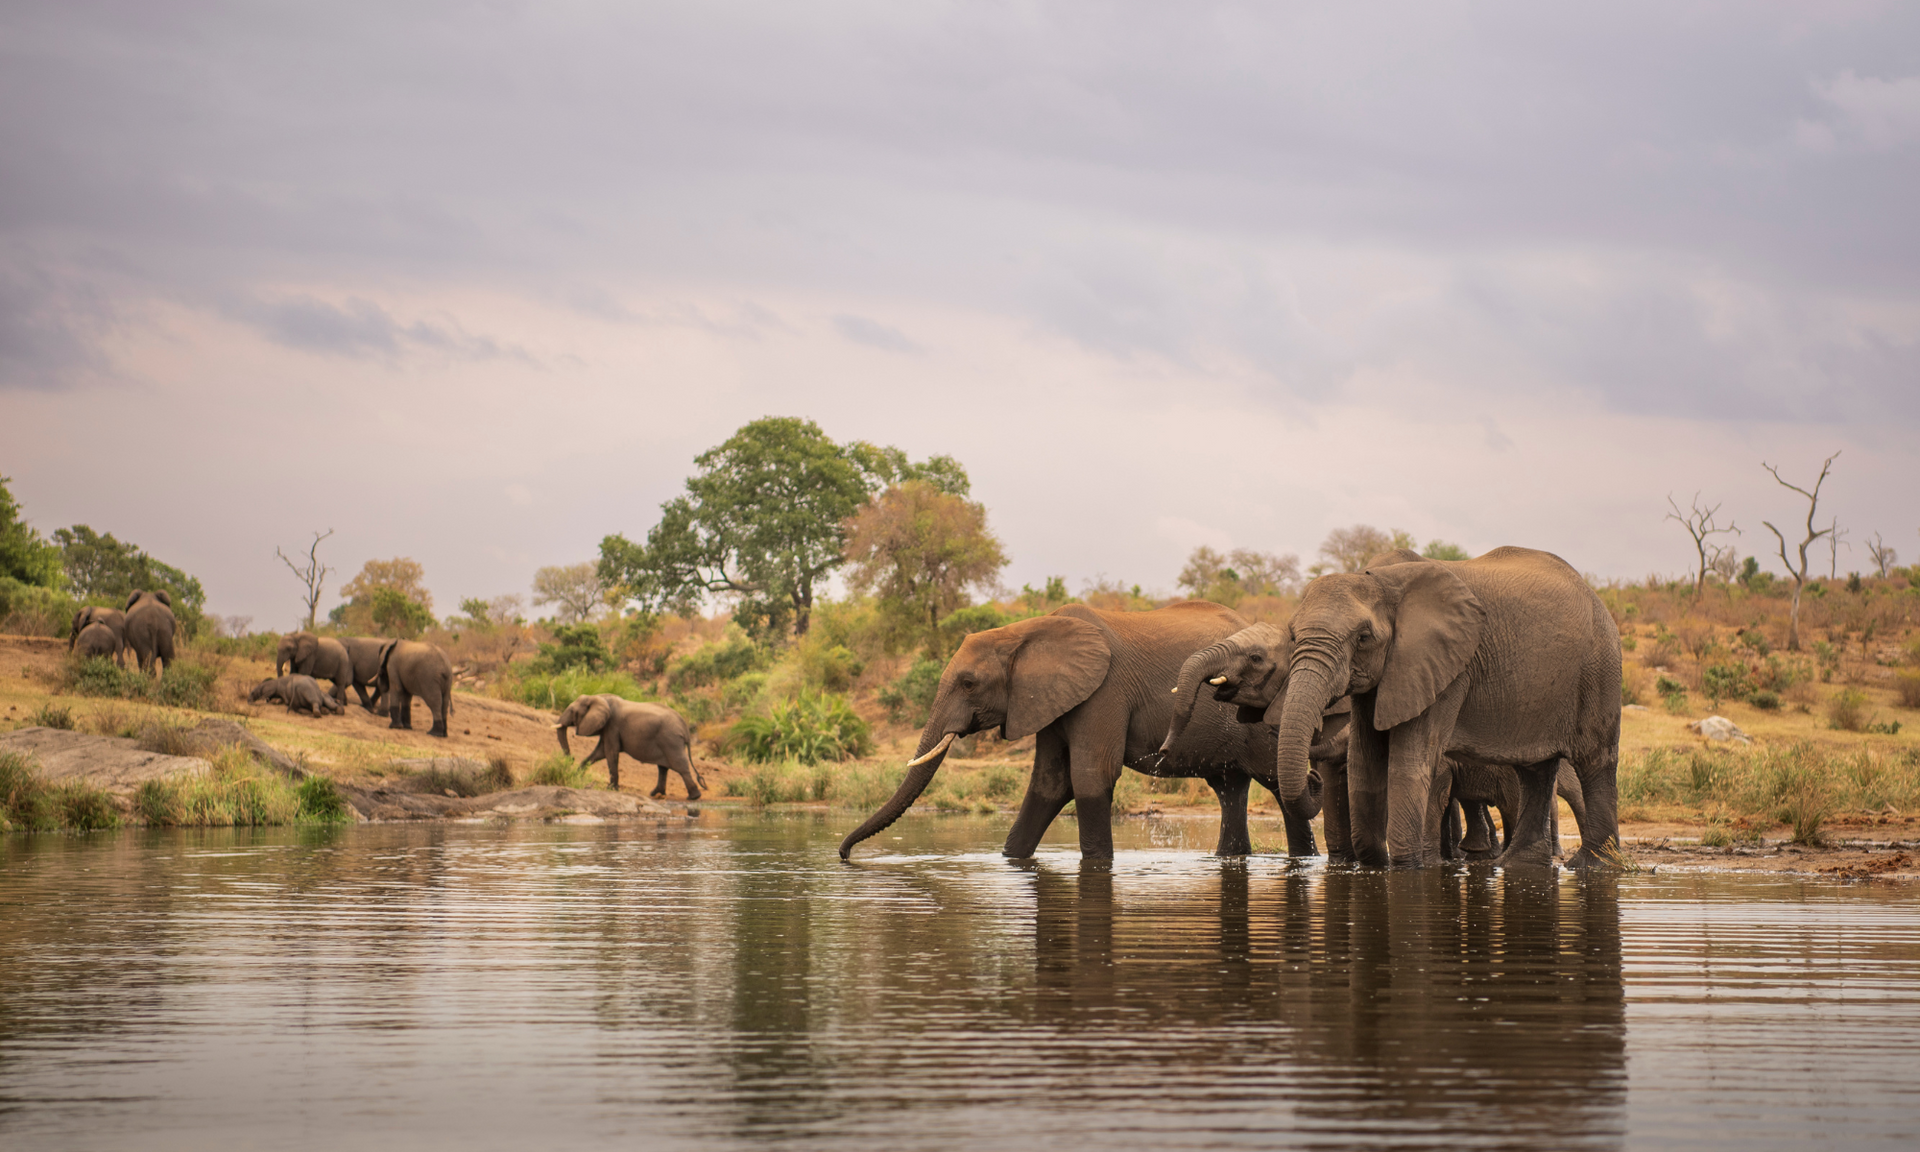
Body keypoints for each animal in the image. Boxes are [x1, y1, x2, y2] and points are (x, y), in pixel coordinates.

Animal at [554, 694, 703, 799]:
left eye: (572, 711)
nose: (571, 758)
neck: (597, 697)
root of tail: (685, 728)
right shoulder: (607, 728)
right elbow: (600, 752)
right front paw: (576, 776)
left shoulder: (612, 726)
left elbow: (610, 752)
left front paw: (611, 789)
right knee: (663, 767)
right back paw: (655, 793)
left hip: (671, 740)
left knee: (680, 767)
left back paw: (694, 797)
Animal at [840, 601, 1323, 862]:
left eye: (969, 683)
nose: (842, 854)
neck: (1027, 630)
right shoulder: (1049, 700)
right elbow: (1049, 784)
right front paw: (1010, 859)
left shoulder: (1103, 690)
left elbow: (1090, 777)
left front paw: (1095, 863)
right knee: (1229, 789)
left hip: (1266, 724)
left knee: (1282, 786)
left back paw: (1306, 857)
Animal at [1269, 546, 1621, 868]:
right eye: (1293, 635)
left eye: (1363, 638)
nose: (1313, 778)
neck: (1381, 579)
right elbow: (1364, 760)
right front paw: (1377, 866)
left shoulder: (1444, 668)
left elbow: (1410, 761)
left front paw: (1410, 867)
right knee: (1535, 770)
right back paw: (1518, 864)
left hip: (1598, 667)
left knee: (1594, 760)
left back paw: (1592, 864)